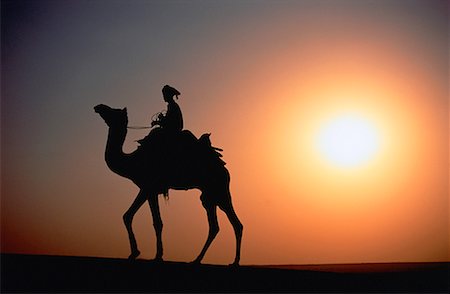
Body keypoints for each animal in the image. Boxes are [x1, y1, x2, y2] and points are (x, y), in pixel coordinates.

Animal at [94, 104, 243, 266]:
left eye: (113, 111)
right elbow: (130, 216)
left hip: (219, 190)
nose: (98, 107)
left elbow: (155, 222)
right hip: (209, 195)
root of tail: (225, 170)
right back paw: (197, 259)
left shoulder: (149, 187)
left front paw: (155, 255)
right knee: (215, 226)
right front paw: (136, 253)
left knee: (234, 223)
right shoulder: (148, 189)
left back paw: (234, 261)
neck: (133, 161)